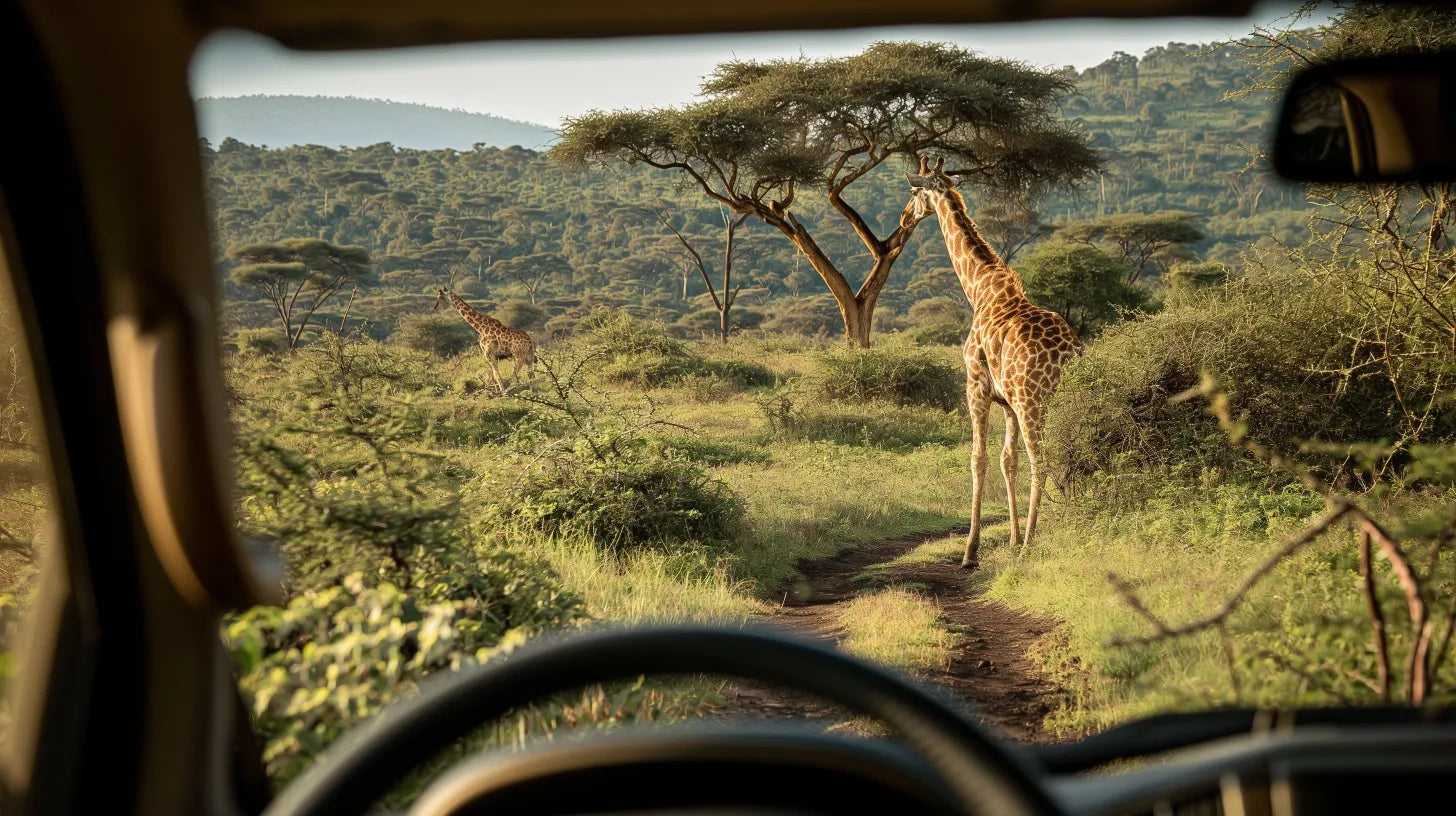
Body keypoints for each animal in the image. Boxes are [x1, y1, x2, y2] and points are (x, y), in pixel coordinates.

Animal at [908, 155, 1083, 571]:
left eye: (914, 192)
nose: (905, 218)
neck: (980, 289)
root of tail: (1071, 353)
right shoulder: (1006, 403)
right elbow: (1007, 461)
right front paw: (1012, 537)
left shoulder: (976, 387)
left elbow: (979, 459)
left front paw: (971, 551)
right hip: (1060, 402)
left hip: (1033, 401)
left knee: (1042, 460)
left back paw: (1031, 544)